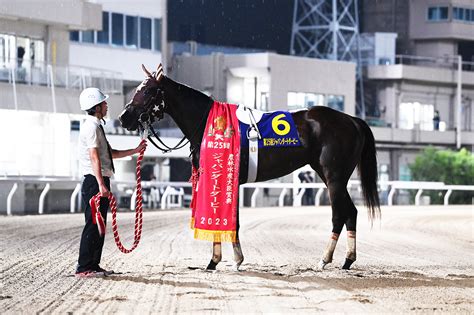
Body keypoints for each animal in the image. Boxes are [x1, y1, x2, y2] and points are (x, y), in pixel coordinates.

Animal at [119, 64, 382, 272]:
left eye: (148, 90)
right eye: (138, 88)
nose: (124, 117)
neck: (208, 123)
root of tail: (352, 120)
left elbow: (226, 221)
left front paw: (220, 260)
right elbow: (228, 220)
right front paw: (227, 260)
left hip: (334, 176)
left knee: (339, 214)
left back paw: (325, 259)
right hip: (330, 176)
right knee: (351, 212)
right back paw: (347, 260)